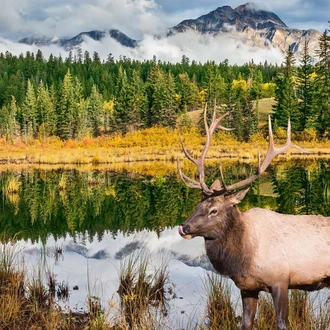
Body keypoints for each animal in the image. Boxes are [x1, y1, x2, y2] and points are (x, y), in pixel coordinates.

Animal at [178, 106, 330, 330]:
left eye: (214, 210)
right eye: (197, 205)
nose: (184, 227)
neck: (243, 257)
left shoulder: (280, 280)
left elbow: (282, 323)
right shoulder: (247, 287)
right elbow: (246, 323)